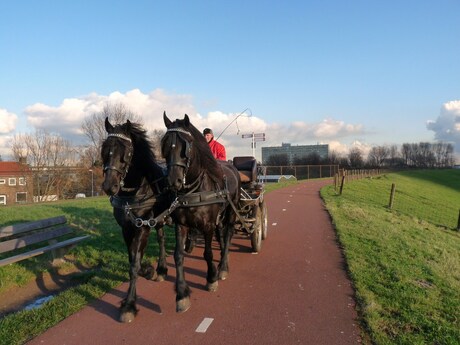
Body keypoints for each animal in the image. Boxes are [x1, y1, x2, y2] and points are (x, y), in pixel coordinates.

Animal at [100, 118, 171, 322]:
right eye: (104, 148)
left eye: (126, 152)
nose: (109, 186)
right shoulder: (127, 228)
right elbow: (133, 260)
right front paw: (149, 270)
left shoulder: (142, 227)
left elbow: (134, 265)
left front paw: (129, 305)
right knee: (161, 239)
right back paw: (161, 269)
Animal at [162, 112, 241, 312]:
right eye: (164, 144)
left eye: (186, 146)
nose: (173, 181)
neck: (194, 191)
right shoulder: (181, 224)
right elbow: (178, 255)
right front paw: (182, 294)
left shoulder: (207, 225)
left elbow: (207, 253)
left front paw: (211, 278)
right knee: (222, 236)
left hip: (231, 212)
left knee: (228, 235)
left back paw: (223, 267)